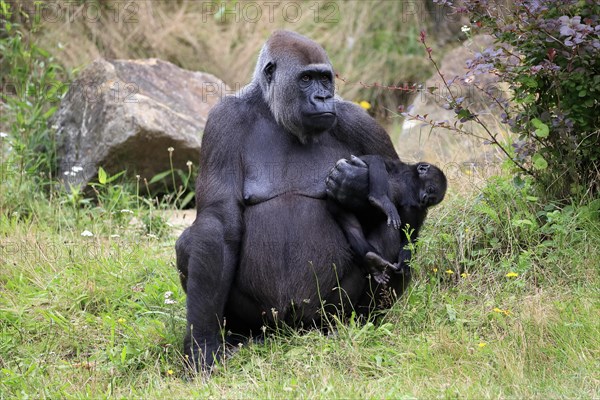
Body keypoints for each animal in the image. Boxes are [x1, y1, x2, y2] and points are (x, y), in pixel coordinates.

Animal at [176, 29, 406, 370]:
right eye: (306, 78)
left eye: (325, 78)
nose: (323, 98)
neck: (273, 111)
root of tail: (292, 330)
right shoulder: (223, 120)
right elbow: (219, 222)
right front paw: (202, 343)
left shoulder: (359, 120)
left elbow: (408, 187)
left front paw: (354, 186)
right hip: (265, 322)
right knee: (191, 243)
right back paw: (237, 336)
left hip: (326, 316)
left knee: (391, 228)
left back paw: (366, 321)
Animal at [328, 155, 446, 284]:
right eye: (430, 189)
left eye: (431, 200)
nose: (425, 198)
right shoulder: (397, 166)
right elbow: (374, 160)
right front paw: (381, 200)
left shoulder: (419, 209)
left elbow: (410, 234)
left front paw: (404, 262)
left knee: (353, 229)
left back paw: (373, 262)